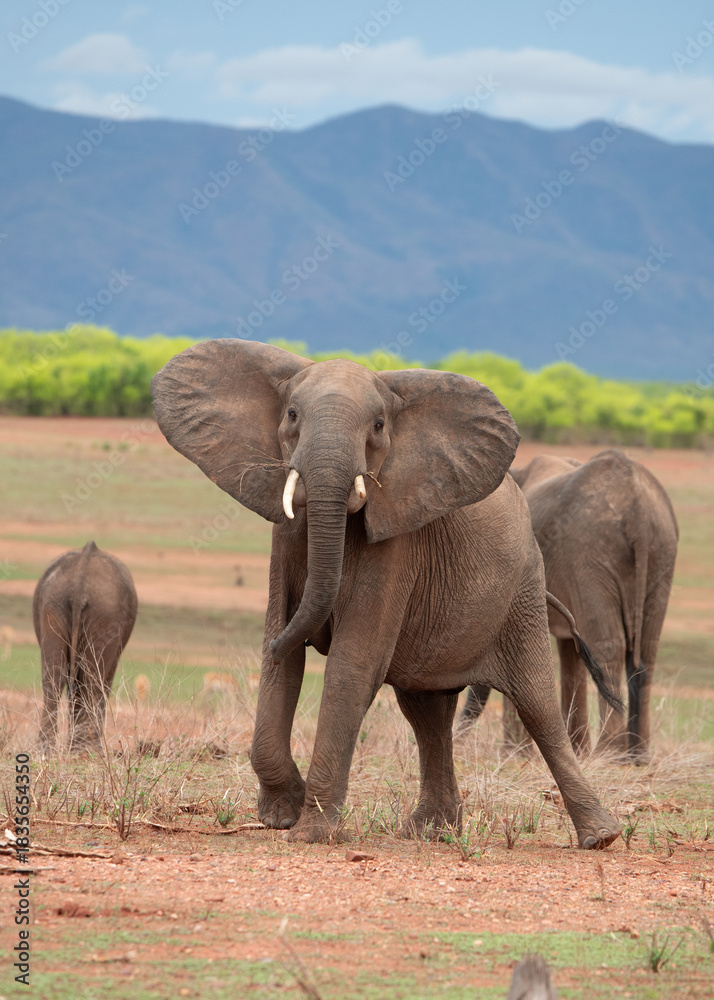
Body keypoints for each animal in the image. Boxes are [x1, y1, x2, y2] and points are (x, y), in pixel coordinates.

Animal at [34, 541, 137, 751]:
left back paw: (47, 750)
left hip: (54, 605)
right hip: (105, 613)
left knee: (54, 677)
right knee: (93, 679)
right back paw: (89, 750)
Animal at [152, 339, 621, 848]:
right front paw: (282, 813)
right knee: (426, 711)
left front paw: (310, 832)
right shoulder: (287, 536)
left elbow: (352, 665)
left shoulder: (398, 544)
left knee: (537, 706)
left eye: (378, 426)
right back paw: (430, 832)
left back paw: (600, 838)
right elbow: (285, 661)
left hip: (523, 594)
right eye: (292, 414)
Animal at [460, 449, 678, 761]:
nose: (459, 743)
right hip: (661, 552)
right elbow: (571, 653)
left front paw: (517, 755)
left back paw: (609, 754)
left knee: (609, 645)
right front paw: (575, 752)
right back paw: (638, 757)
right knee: (647, 649)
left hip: (590, 554)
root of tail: (636, 507)